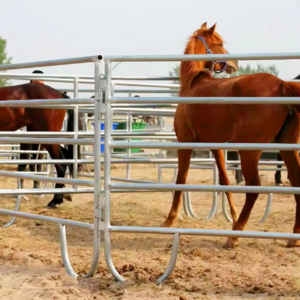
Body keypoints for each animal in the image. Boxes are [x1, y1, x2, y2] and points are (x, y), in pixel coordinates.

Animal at [162, 22, 300, 248]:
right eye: (219, 43)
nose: (235, 63)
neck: (192, 84)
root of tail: (281, 85)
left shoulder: (185, 142)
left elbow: (181, 179)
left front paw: (170, 219)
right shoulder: (216, 146)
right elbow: (225, 181)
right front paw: (233, 215)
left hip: (249, 151)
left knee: (254, 188)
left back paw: (234, 235)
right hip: (286, 147)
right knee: (296, 182)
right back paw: (293, 237)